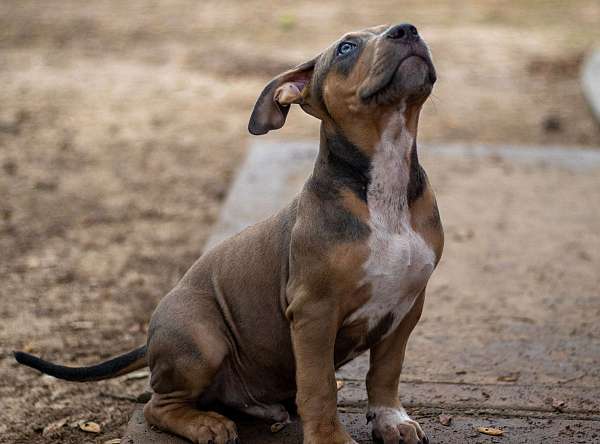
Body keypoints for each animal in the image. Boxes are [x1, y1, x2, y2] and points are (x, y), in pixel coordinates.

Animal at [16, 23, 442, 444]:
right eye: (346, 48)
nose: (406, 30)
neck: (384, 182)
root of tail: (151, 338)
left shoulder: (406, 304)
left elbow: (385, 372)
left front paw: (390, 420)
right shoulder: (315, 310)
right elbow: (319, 385)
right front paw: (329, 439)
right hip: (202, 336)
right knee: (158, 404)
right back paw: (207, 424)